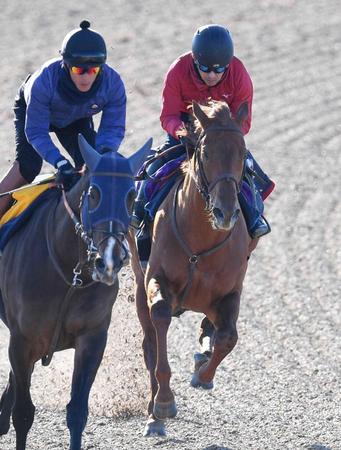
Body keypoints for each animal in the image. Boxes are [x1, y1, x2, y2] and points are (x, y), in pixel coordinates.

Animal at [0, 134, 151, 450]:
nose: (110, 259)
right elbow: (24, 413)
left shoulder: (92, 337)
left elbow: (78, 411)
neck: (70, 274)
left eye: (131, 195)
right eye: (93, 193)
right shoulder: (22, 340)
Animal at [130, 102, 258, 436]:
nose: (225, 212)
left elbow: (228, 337)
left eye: (242, 152)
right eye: (207, 153)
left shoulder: (230, 292)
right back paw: (155, 414)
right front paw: (163, 402)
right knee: (150, 342)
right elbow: (160, 318)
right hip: (138, 284)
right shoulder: (156, 281)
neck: (201, 245)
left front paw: (203, 374)